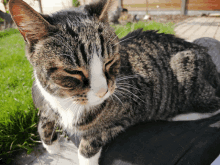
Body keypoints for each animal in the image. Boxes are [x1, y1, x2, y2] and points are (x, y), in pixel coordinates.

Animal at [9, 0, 220, 164]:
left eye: (109, 61)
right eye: (73, 71)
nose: (103, 91)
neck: (68, 102)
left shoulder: (130, 108)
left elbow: (93, 138)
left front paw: (85, 157)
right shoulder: (47, 97)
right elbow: (45, 115)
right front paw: (51, 145)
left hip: (186, 71)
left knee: (214, 104)